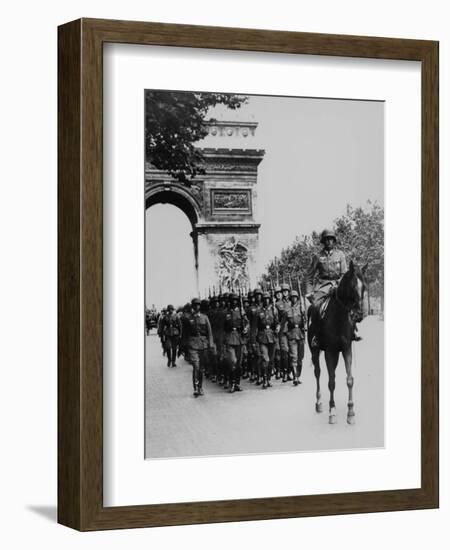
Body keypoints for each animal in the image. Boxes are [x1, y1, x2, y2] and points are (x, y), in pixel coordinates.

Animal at [308, 262, 368, 426]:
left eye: (364, 287)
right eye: (352, 286)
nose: (358, 315)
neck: (338, 316)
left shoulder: (346, 349)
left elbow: (349, 380)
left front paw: (350, 412)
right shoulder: (330, 352)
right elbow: (331, 382)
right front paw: (332, 411)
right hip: (315, 351)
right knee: (317, 373)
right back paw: (319, 403)